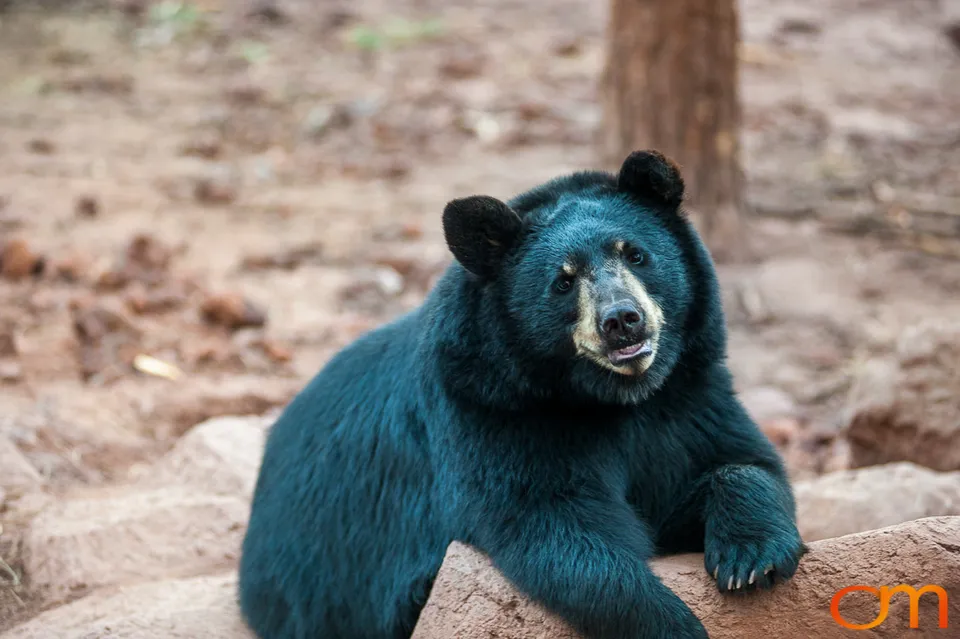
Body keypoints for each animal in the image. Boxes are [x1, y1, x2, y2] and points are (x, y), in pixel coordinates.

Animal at [237, 150, 806, 639]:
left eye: (637, 255)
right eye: (563, 281)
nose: (621, 320)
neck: (617, 397)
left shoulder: (689, 396)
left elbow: (740, 463)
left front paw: (750, 559)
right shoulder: (493, 411)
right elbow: (551, 526)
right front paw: (675, 625)